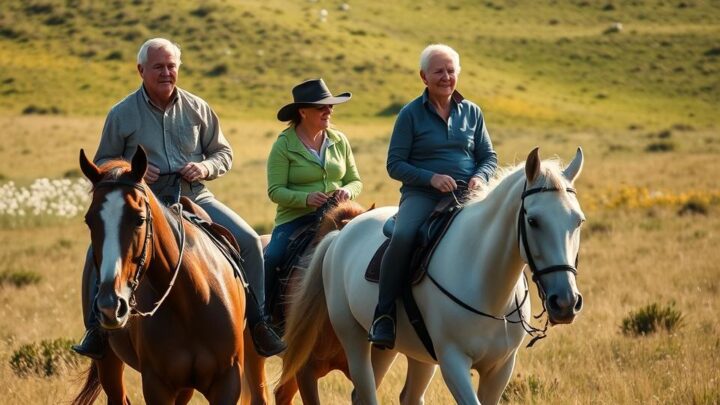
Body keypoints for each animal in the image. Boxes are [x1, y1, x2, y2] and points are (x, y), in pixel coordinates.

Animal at [72, 146, 246, 405]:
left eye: (139, 219)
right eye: (89, 221)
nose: (110, 306)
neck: (191, 300)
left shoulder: (228, 382)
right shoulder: (157, 386)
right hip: (108, 362)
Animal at [281, 147, 586, 404]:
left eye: (578, 221)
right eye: (533, 220)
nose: (565, 303)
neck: (487, 287)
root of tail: (340, 233)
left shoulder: (500, 368)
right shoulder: (453, 362)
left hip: (396, 352)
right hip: (353, 339)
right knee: (365, 392)